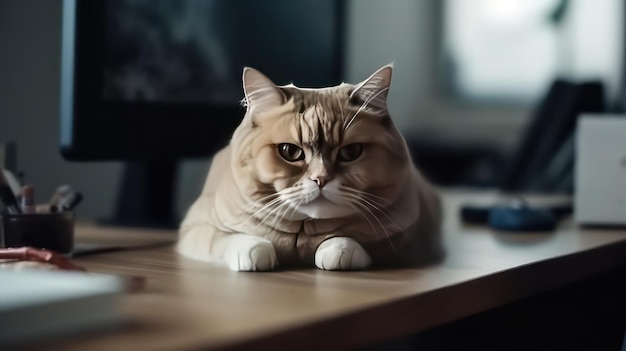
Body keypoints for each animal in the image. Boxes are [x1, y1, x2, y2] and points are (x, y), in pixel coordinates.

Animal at [177, 65, 444, 272]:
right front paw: (255, 252)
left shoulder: (414, 237)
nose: (321, 179)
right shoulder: (194, 228)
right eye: (290, 152)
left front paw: (338, 251)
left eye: (351, 152)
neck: (303, 234)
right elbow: (228, 239)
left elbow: (360, 244)